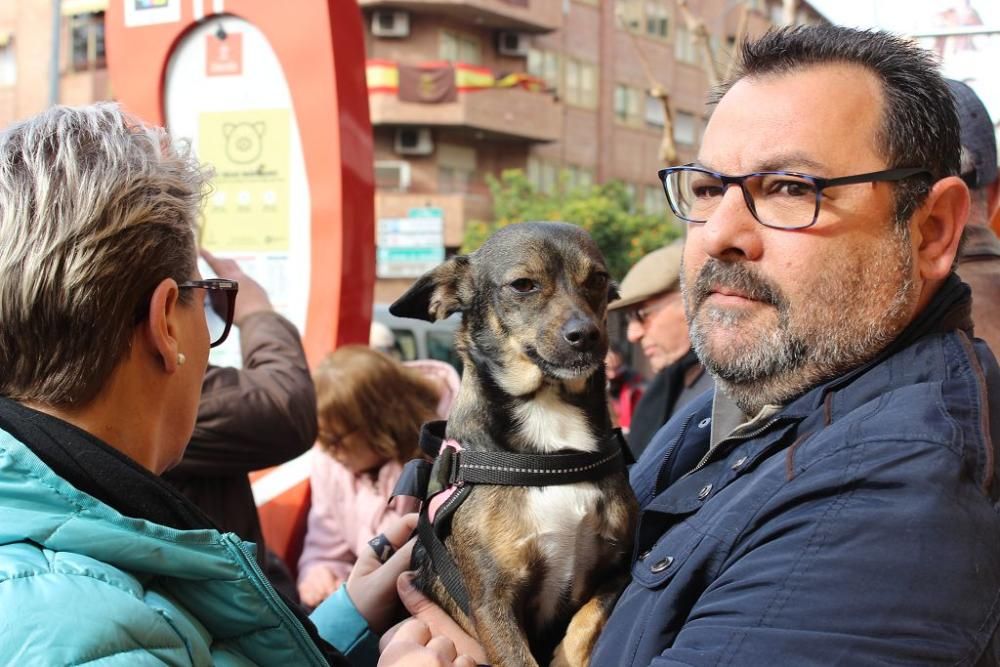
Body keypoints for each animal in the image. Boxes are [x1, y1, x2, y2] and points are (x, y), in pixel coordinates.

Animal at [386, 223, 636, 667]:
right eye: (523, 285)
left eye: (598, 280)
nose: (587, 335)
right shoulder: (491, 600)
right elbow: (519, 659)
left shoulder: (618, 568)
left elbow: (587, 620)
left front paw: (567, 656)